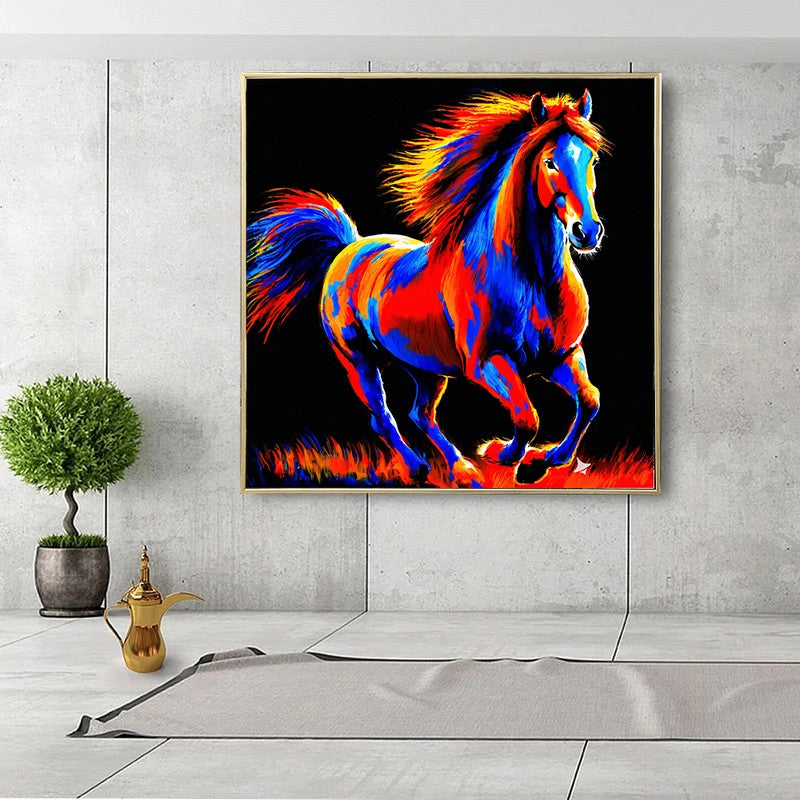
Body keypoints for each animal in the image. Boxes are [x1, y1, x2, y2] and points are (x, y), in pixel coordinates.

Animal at [247, 89, 609, 487]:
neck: (532, 282)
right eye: (549, 162)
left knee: (420, 415)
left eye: (591, 158)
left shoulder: (563, 355)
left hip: (424, 367)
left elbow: (589, 400)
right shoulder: (488, 363)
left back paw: (461, 468)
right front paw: (503, 453)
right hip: (358, 360)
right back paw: (422, 467)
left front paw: (543, 461)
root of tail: (348, 247)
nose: (587, 231)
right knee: (383, 416)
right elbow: (527, 416)